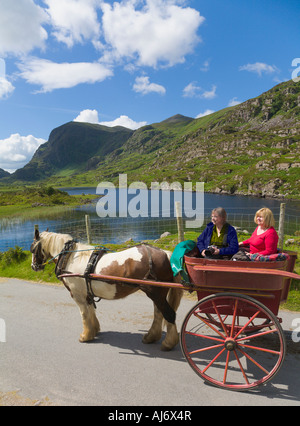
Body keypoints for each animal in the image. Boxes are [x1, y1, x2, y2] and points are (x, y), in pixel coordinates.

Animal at [31, 231, 184, 352]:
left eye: (33, 249)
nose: (34, 266)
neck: (70, 258)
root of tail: (165, 254)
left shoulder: (78, 295)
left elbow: (84, 314)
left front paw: (85, 336)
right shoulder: (87, 294)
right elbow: (91, 311)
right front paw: (94, 330)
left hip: (156, 293)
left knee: (168, 314)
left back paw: (168, 343)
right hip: (157, 293)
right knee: (159, 313)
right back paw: (151, 337)